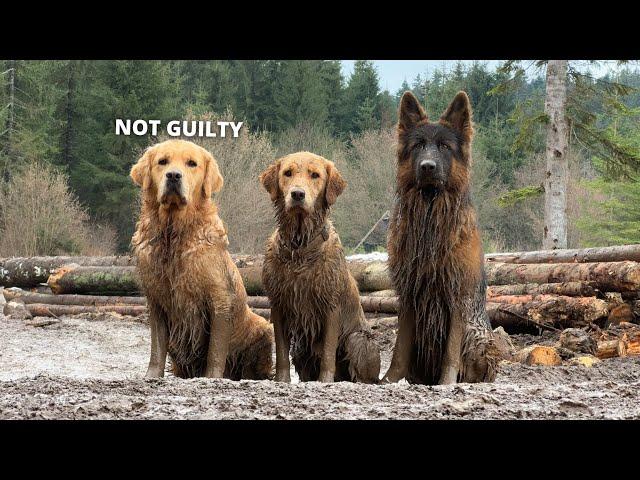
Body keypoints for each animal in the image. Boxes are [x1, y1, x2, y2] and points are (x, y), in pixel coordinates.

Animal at [131, 141, 274, 380]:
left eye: (192, 163)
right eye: (162, 161)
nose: (173, 175)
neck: (173, 234)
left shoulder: (219, 298)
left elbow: (215, 349)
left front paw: (212, 377)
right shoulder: (156, 298)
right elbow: (157, 346)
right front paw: (151, 375)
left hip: (262, 327)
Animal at [258, 152, 380, 384]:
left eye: (315, 175)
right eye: (287, 172)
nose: (297, 194)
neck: (300, 248)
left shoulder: (330, 304)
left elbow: (328, 352)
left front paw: (325, 380)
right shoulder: (278, 302)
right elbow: (281, 351)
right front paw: (282, 380)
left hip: (358, 339)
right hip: (300, 348)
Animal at [380, 92, 504, 384]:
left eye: (445, 147)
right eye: (418, 145)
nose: (428, 166)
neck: (429, 221)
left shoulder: (456, 295)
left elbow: (451, 352)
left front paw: (446, 383)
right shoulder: (409, 294)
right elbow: (399, 350)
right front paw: (386, 381)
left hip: (478, 337)